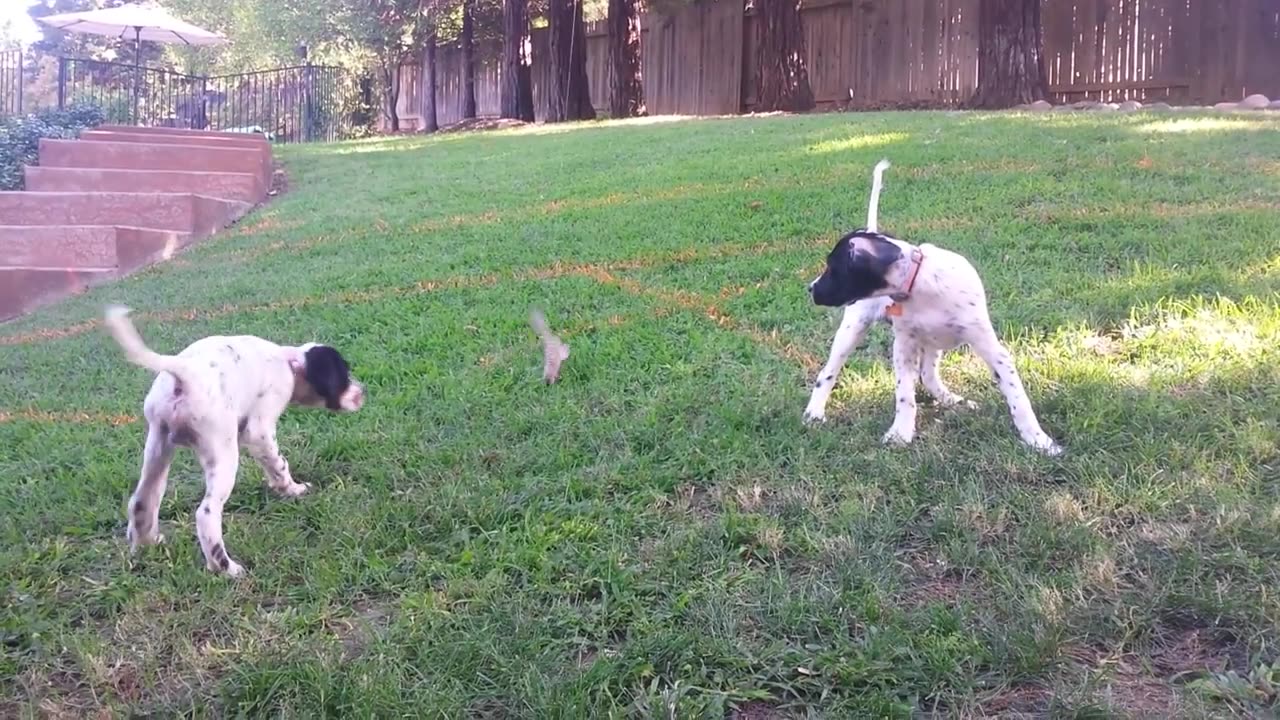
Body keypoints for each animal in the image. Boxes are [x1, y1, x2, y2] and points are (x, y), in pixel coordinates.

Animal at [103, 304, 366, 573]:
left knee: (141, 500)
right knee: (206, 514)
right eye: (343, 375)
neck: (288, 361)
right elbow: (279, 463)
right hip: (223, 452)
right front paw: (292, 489)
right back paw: (226, 568)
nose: (362, 393)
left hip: (158, 445)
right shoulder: (260, 429)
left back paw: (146, 545)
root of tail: (185, 373)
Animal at [803, 162, 1064, 453]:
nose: (811, 288)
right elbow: (904, 395)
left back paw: (954, 400)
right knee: (828, 373)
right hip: (855, 327)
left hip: (933, 342)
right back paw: (814, 413)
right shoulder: (904, 346)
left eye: (832, 268)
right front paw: (900, 434)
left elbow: (1018, 398)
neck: (919, 283)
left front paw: (1038, 440)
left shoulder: (992, 349)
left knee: (928, 376)